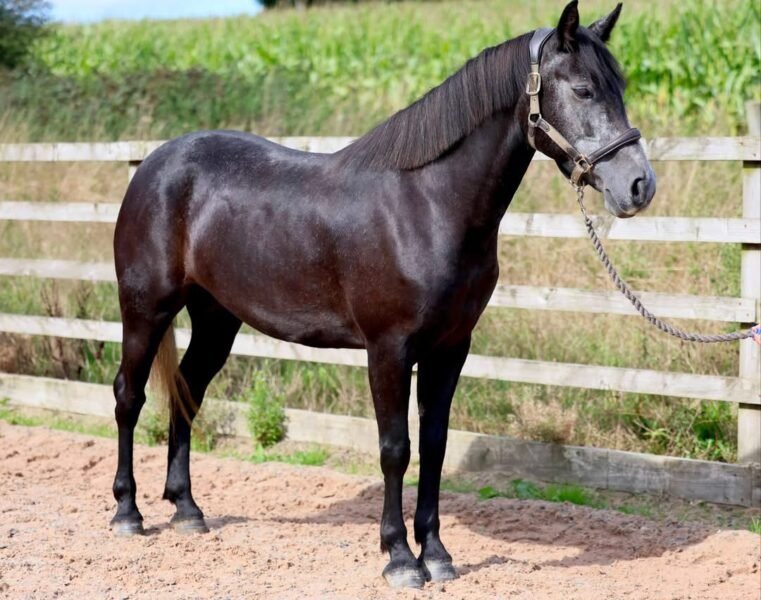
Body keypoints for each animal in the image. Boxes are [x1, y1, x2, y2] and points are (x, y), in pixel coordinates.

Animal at [110, 0, 655, 588]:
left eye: (620, 86)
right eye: (582, 89)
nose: (639, 186)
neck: (426, 204)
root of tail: (155, 164)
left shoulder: (450, 348)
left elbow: (435, 445)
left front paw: (436, 554)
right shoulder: (388, 350)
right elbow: (395, 449)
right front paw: (399, 558)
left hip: (216, 318)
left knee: (186, 390)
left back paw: (187, 509)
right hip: (146, 309)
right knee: (129, 395)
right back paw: (128, 513)